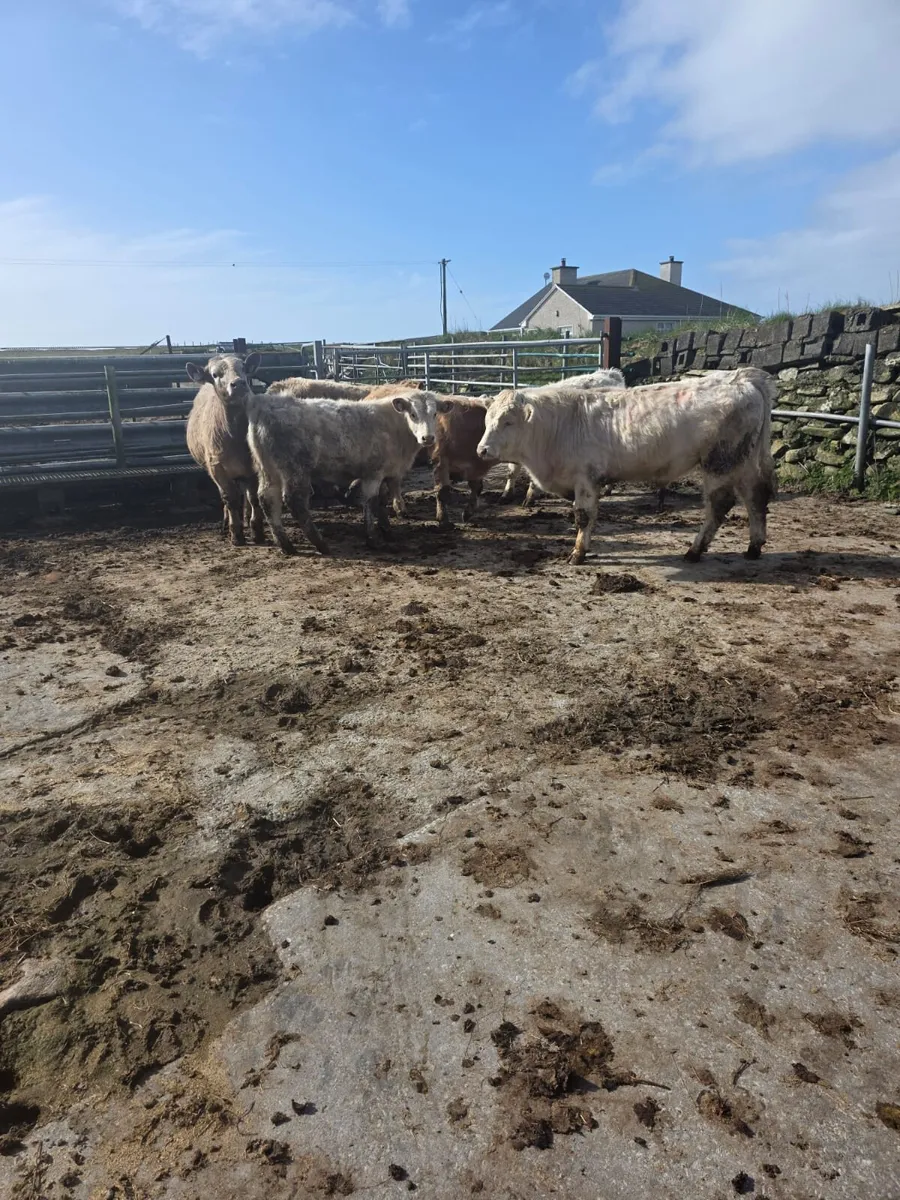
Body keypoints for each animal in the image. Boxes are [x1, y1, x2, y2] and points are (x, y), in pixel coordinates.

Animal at [476, 368, 777, 565]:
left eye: (508, 422)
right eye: (487, 420)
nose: (482, 450)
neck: (560, 426)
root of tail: (741, 377)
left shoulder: (585, 479)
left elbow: (583, 516)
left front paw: (578, 553)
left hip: (720, 462)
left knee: (719, 506)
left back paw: (695, 551)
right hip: (743, 462)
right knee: (755, 498)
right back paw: (754, 546)